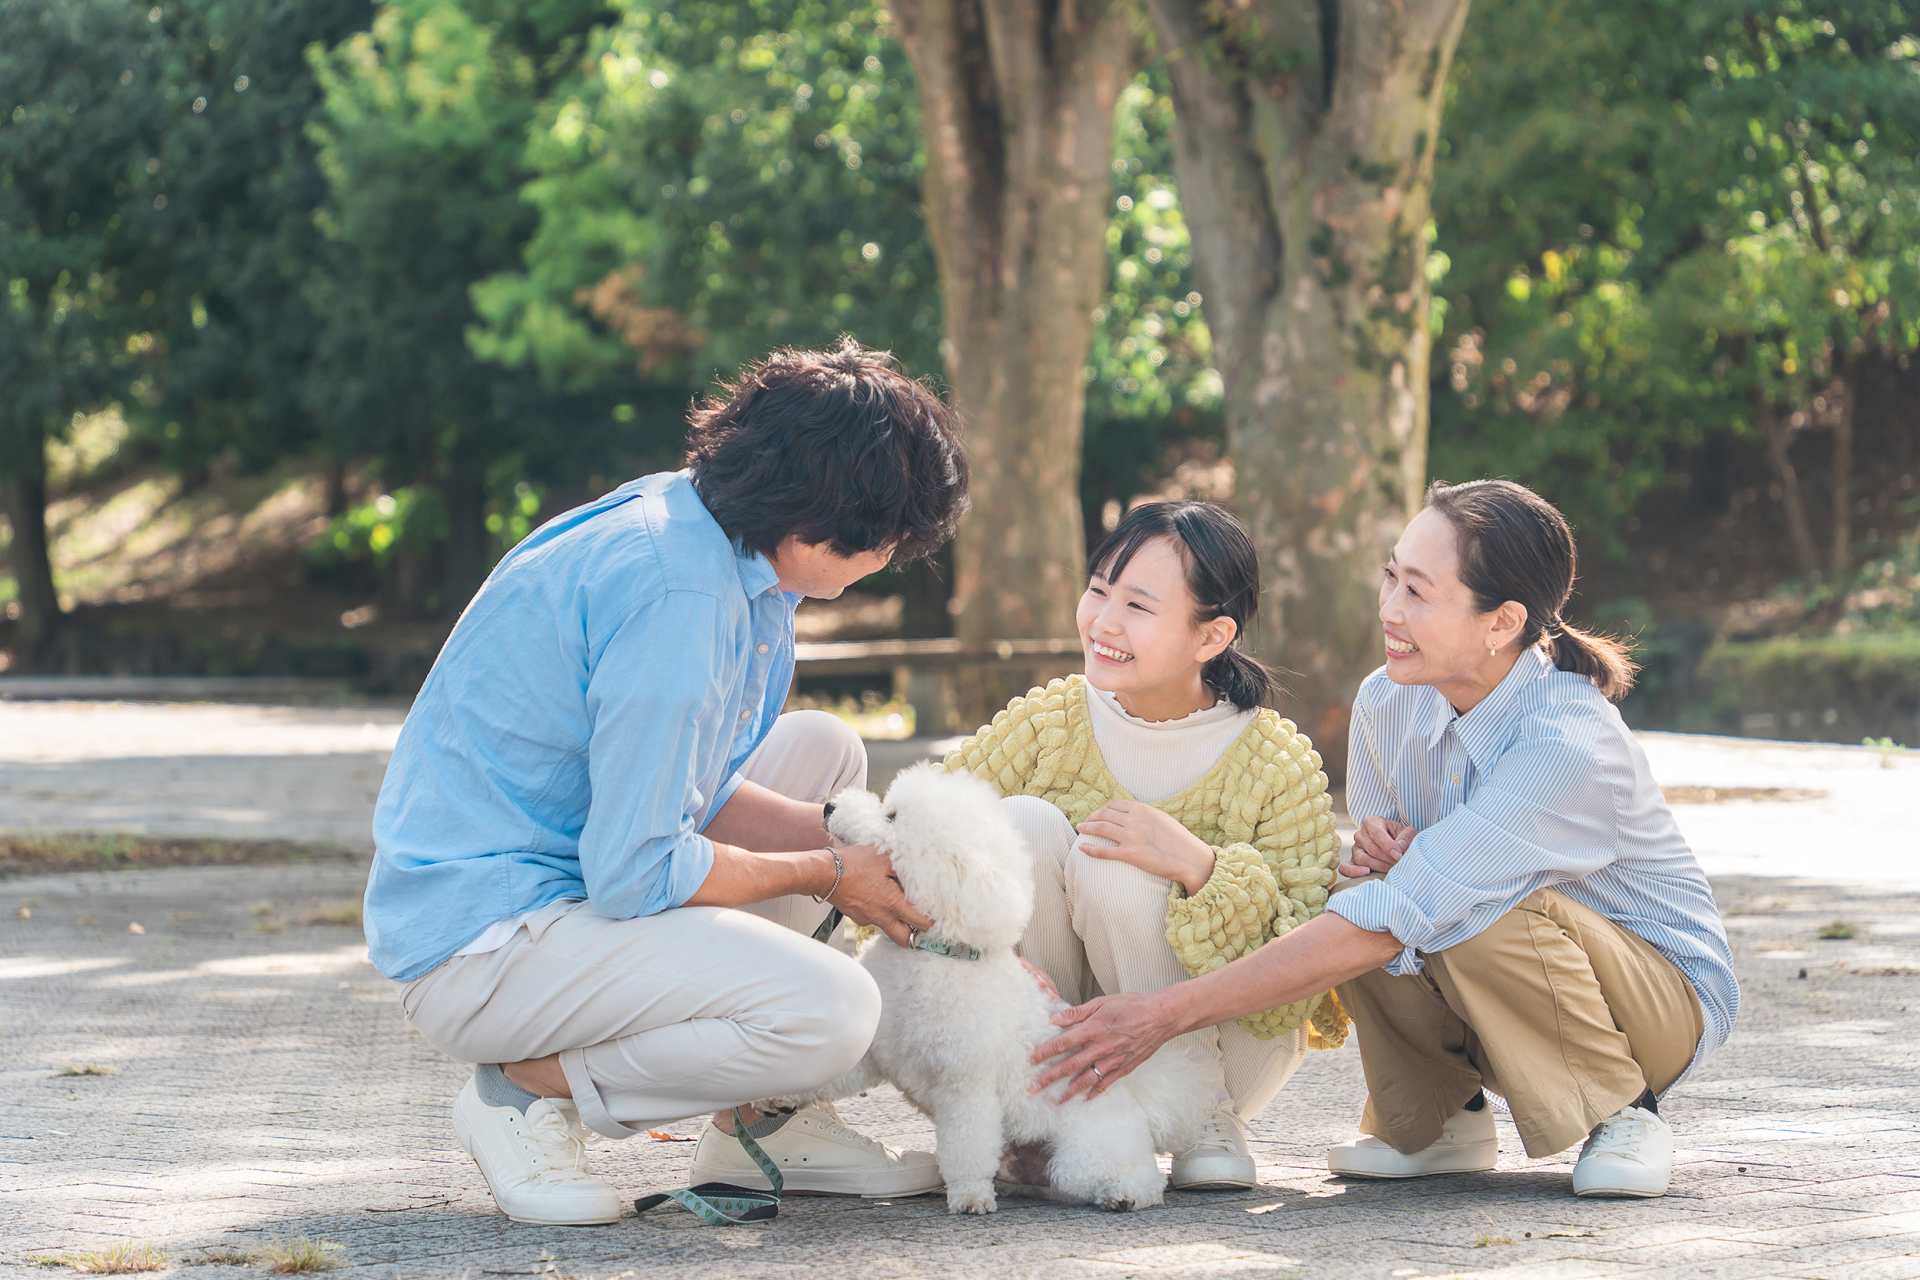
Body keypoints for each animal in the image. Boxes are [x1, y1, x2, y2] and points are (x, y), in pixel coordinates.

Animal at [787, 767, 1205, 1220]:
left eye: (892, 817)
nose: (829, 807)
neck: (934, 953)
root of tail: (1141, 1100)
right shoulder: (877, 1049)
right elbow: (830, 1069)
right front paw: (781, 1098)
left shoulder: (967, 1088)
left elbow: (967, 1148)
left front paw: (970, 1196)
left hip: (1084, 1156)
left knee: (1140, 1179)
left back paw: (1124, 1193)